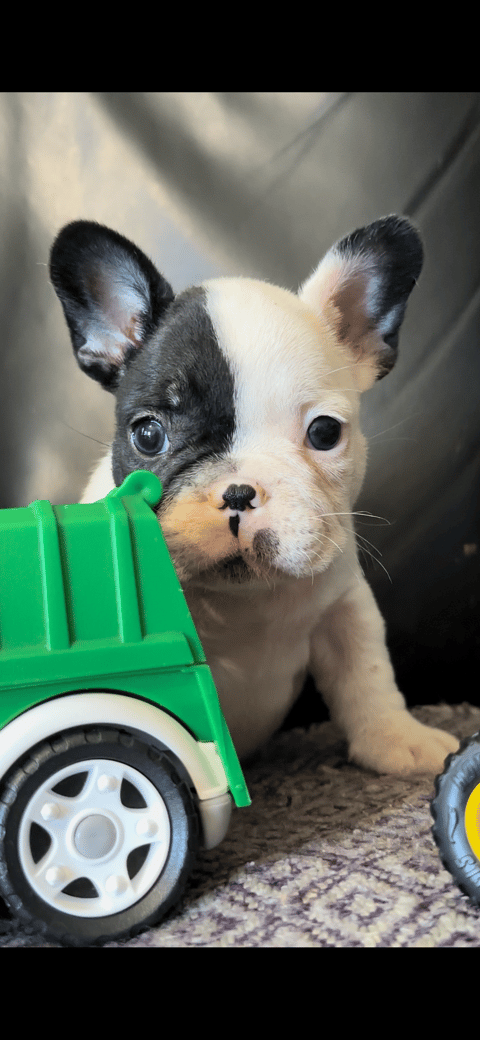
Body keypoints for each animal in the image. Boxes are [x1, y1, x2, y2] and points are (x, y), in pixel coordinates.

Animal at [50, 217, 459, 773]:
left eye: (325, 432)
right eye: (148, 436)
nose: (240, 493)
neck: (244, 599)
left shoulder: (345, 607)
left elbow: (367, 672)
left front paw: (396, 738)